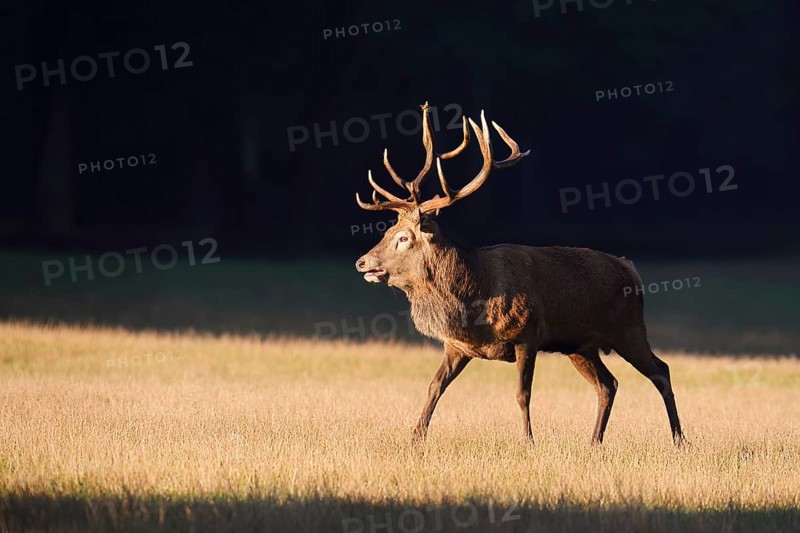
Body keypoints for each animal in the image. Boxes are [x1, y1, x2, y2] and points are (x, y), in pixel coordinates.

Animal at [354, 102, 685, 447]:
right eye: (387, 230)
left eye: (404, 237)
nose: (362, 262)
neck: (474, 299)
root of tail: (631, 269)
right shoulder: (456, 346)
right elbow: (435, 386)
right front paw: (415, 438)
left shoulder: (527, 335)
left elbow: (522, 393)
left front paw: (528, 441)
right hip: (581, 345)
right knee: (609, 384)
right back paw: (595, 442)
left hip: (628, 328)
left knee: (661, 370)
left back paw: (679, 439)